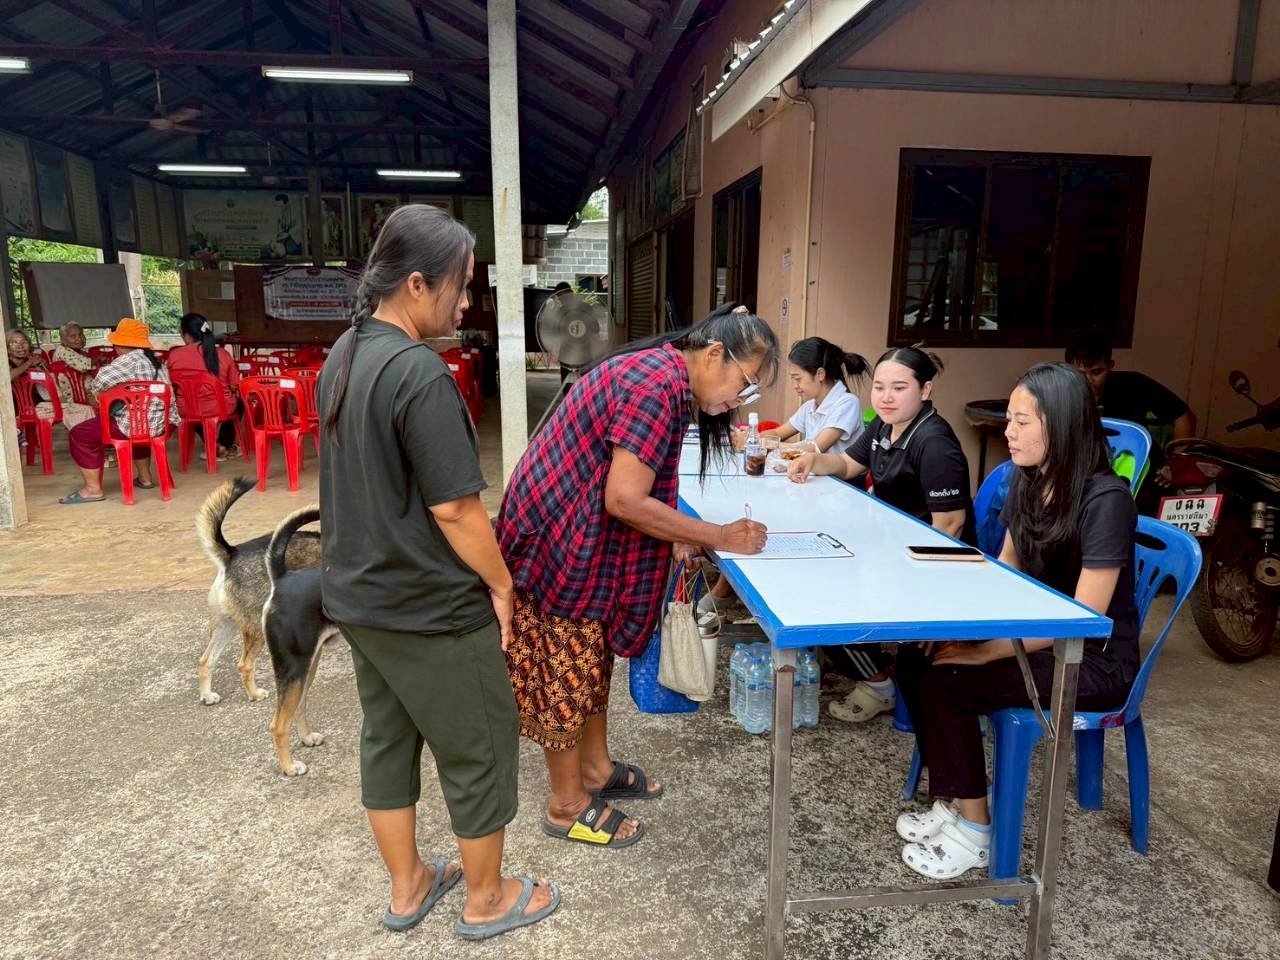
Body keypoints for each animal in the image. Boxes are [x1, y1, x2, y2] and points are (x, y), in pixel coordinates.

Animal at [195, 477, 321, 707]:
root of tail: (231, 554)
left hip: (225, 625)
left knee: (206, 660)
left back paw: (207, 695)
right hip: (256, 629)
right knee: (244, 665)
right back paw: (254, 694)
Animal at [261, 505, 341, 777]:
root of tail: (282, 580)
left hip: (306, 668)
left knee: (299, 707)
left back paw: (306, 738)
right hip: (294, 669)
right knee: (278, 725)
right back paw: (289, 766)